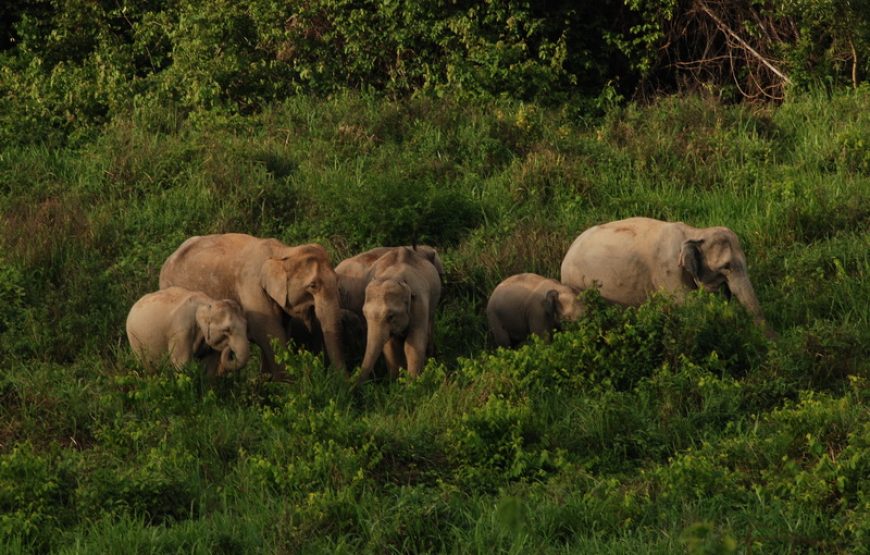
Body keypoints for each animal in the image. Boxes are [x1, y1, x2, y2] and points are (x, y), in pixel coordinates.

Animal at [160, 235, 348, 378]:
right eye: (313, 286)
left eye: (337, 281)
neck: (283, 252)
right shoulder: (251, 290)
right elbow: (270, 334)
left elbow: (277, 333)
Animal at [358, 245, 442, 384]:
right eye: (365, 315)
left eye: (390, 316)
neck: (393, 276)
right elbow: (389, 346)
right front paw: (394, 381)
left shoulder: (419, 302)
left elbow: (413, 343)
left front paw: (413, 384)